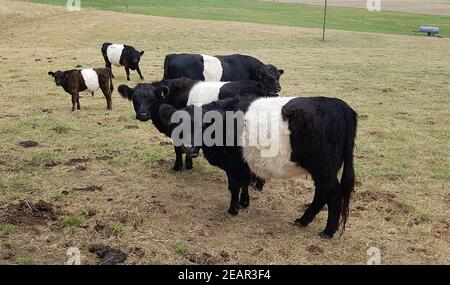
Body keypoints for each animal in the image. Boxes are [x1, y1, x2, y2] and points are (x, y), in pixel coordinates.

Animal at [160, 94, 356, 236]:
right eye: (178, 126)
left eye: (202, 125)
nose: (188, 147)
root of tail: (340, 106)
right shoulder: (243, 164)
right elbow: (245, 183)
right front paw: (244, 203)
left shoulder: (233, 165)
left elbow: (234, 186)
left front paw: (233, 209)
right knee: (322, 193)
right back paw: (303, 221)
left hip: (323, 168)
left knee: (332, 194)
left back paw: (327, 231)